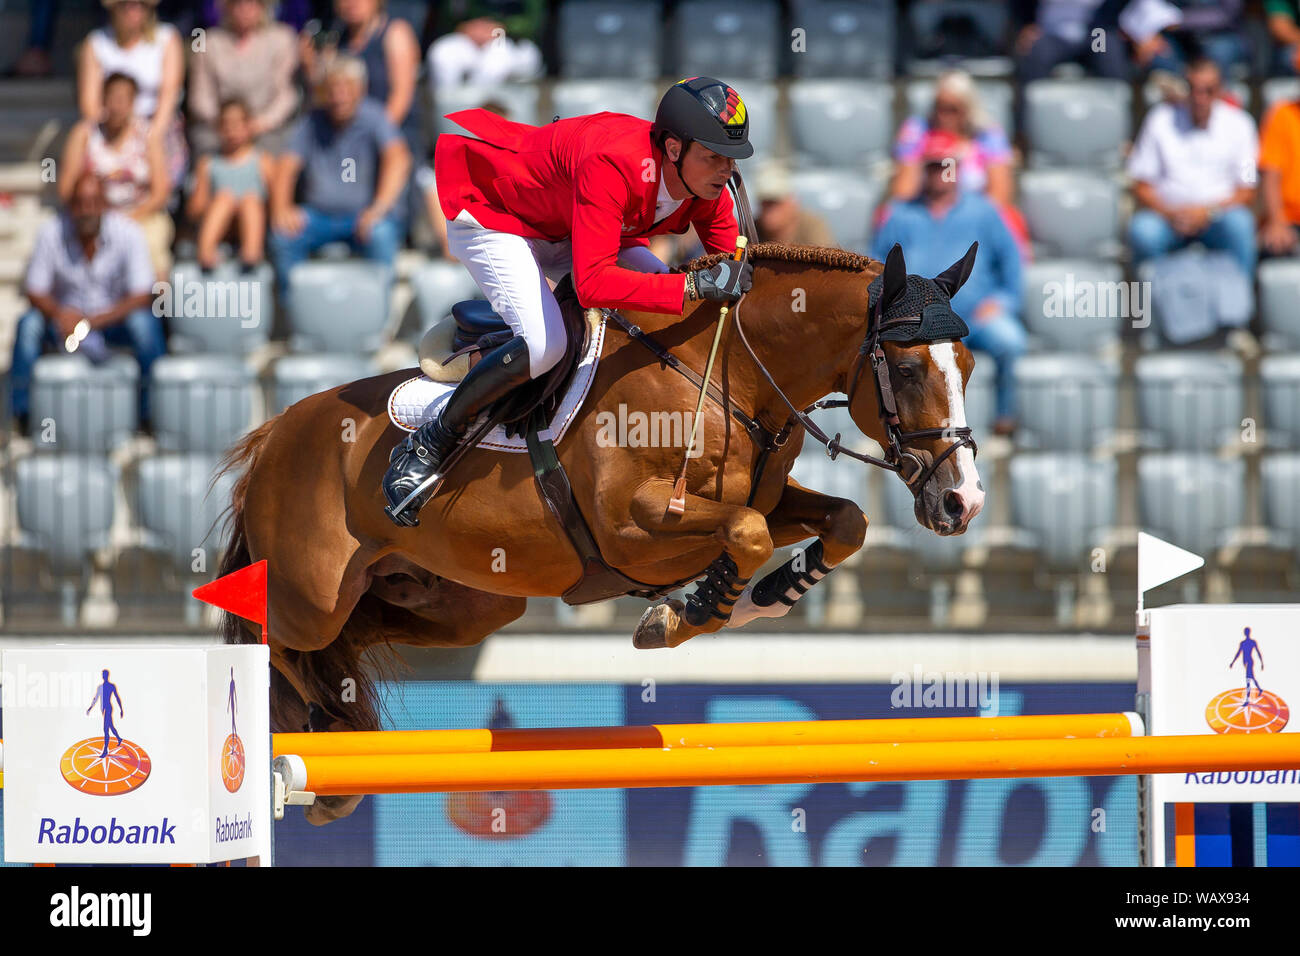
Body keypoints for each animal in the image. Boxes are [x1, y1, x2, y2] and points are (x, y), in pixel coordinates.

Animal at [215, 243, 982, 827]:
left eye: (969, 368)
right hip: (310, 595)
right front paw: (682, 615)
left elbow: (839, 522)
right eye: (907, 368)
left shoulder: (766, 499)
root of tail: (273, 432)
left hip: (466, 602)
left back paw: (338, 737)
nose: (963, 500)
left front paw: (761, 597)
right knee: (272, 633)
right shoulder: (629, 525)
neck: (729, 375)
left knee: (354, 638)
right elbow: (747, 534)